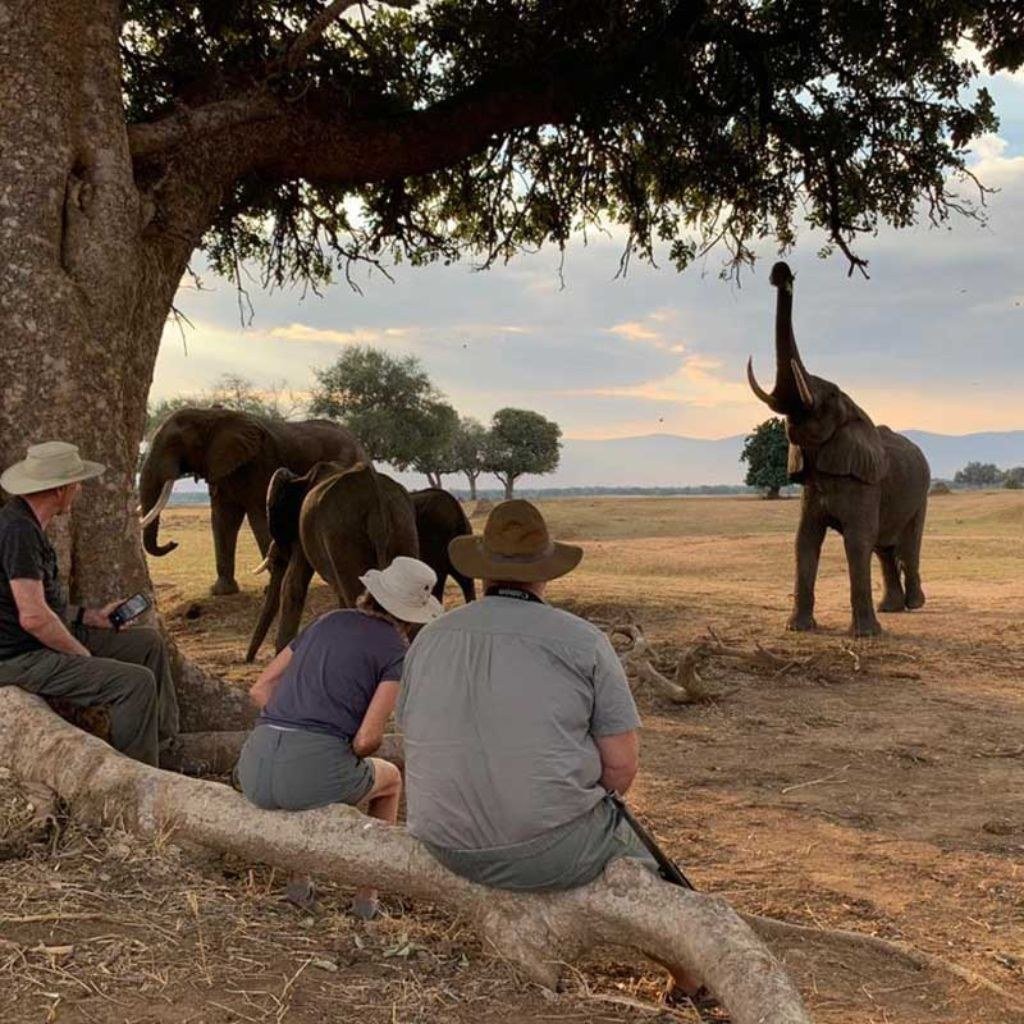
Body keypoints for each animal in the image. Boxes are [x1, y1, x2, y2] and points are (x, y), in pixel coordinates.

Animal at [138, 408, 365, 596]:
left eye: (174, 444)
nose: (172, 542)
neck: (209, 415)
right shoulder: (221, 469)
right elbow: (222, 519)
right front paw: (221, 591)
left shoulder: (259, 465)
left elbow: (259, 518)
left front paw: (269, 588)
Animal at [245, 462, 419, 661]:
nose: (248, 660)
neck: (300, 478)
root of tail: (377, 499)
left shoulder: (301, 531)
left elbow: (292, 585)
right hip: (403, 526)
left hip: (343, 534)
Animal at [747, 262, 930, 637]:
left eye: (827, 397)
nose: (781, 272)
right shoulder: (813, 484)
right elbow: (804, 540)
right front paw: (797, 629)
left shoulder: (864, 482)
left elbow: (857, 541)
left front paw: (864, 636)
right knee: (885, 548)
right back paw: (891, 608)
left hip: (921, 492)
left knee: (907, 546)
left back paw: (914, 605)